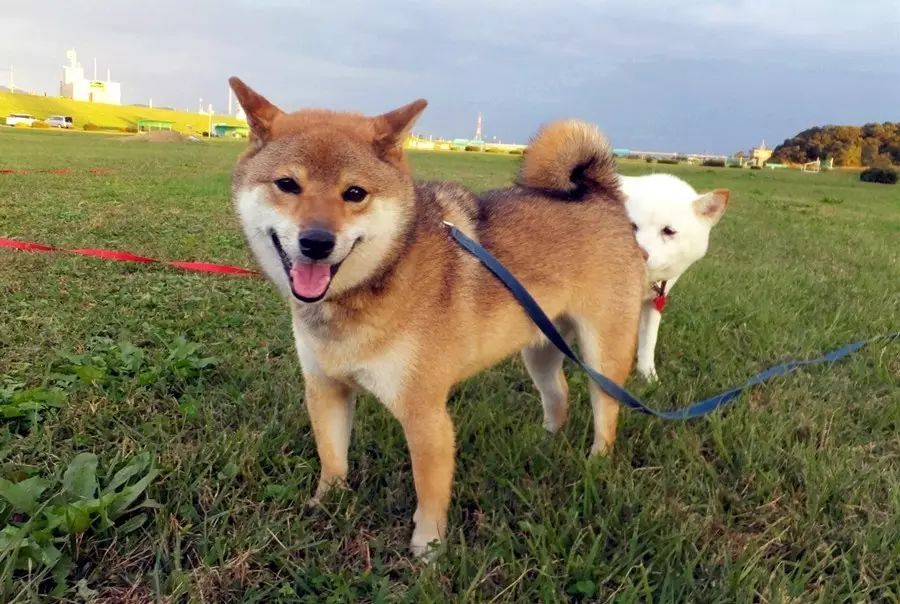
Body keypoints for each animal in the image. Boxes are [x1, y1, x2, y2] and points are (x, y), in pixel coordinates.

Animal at [229, 76, 644, 556]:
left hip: (603, 355)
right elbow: (332, 459)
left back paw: (596, 461)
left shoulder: (425, 414)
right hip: (539, 347)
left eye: (355, 193)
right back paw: (546, 441)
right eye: (286, 184)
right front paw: (325, 504)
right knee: (558, 394)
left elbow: (429, 491)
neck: (371, 285)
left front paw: (426, 549)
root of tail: (604, 197)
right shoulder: (325, 388)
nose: (316, 242)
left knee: (605, 410)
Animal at [624, 175, 728, 380]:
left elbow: (648, 341)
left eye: (668, 231)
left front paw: (648, 375)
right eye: (632, 226)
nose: (639, 253)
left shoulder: (653, 303)